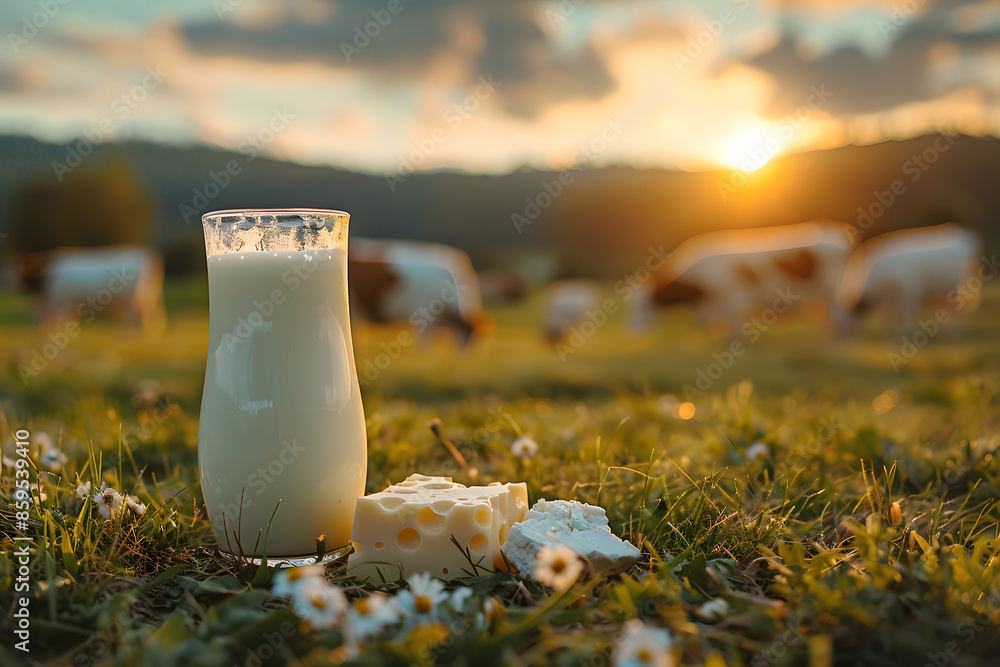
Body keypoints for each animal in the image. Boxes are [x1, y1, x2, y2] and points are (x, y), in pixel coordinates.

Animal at [36, 245, 166, 332]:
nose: (39, 331)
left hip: (134, 295)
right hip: (146, 294)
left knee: (137, 312)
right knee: (151, 310)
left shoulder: (60, 301)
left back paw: (129, 331)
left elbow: (60, 318)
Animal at [640, 222, 860, 340]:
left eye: (649, 303)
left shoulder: (735, 300)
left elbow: (734, 328)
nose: (636, 330)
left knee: (839, 317)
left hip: (831, 291)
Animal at [836, 223, 984, 332]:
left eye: (846, 321)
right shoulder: (890, 300)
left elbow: (905, 313)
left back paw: (957, 328)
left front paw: (903, 332)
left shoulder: (910, 291)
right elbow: (892, 316)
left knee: (963, 306)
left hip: (964, 283)